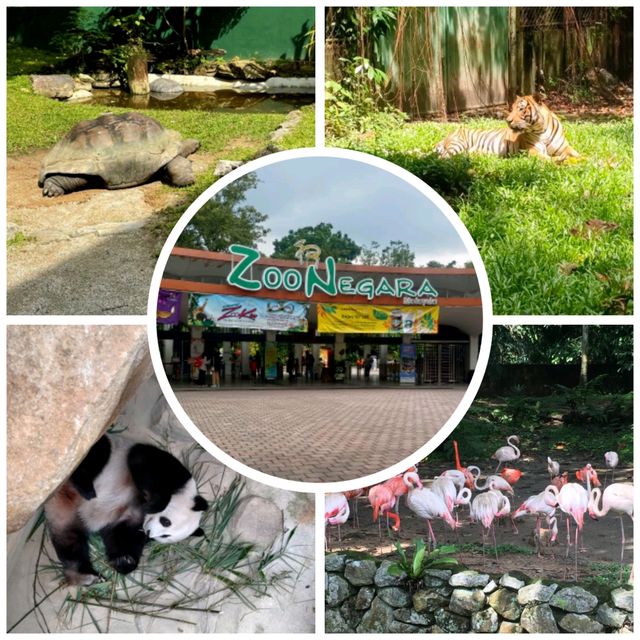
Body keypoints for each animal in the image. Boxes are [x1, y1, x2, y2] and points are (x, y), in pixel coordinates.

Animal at [44, 436, 208, 584]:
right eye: (166, 522)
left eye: (164, 536)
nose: (149, 533)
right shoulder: (170, 471)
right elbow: (142, 459)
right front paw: (155, 504)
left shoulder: (129, 520)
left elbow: (121, 535)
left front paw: (125, 560)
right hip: (104, 454)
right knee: (96, 454)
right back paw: (86, 488)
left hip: (66, 518)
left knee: (70, 543)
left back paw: (85, 576)